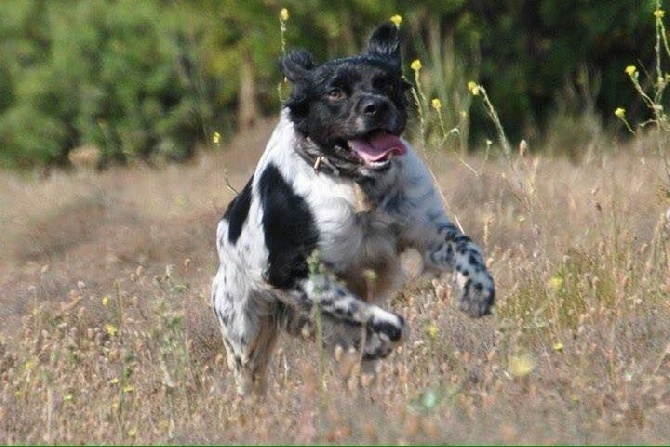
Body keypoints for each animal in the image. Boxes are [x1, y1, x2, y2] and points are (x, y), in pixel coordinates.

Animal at [213, 23, 496, 396]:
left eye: (386, 84)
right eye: (334, 92)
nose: (376, 107)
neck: (356, 184)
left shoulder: (429, 234)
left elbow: (467, 247)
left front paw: (477, 290)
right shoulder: (289, 272)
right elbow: (378, 318)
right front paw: (378, 338)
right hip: (245, 334)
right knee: (253, 376)